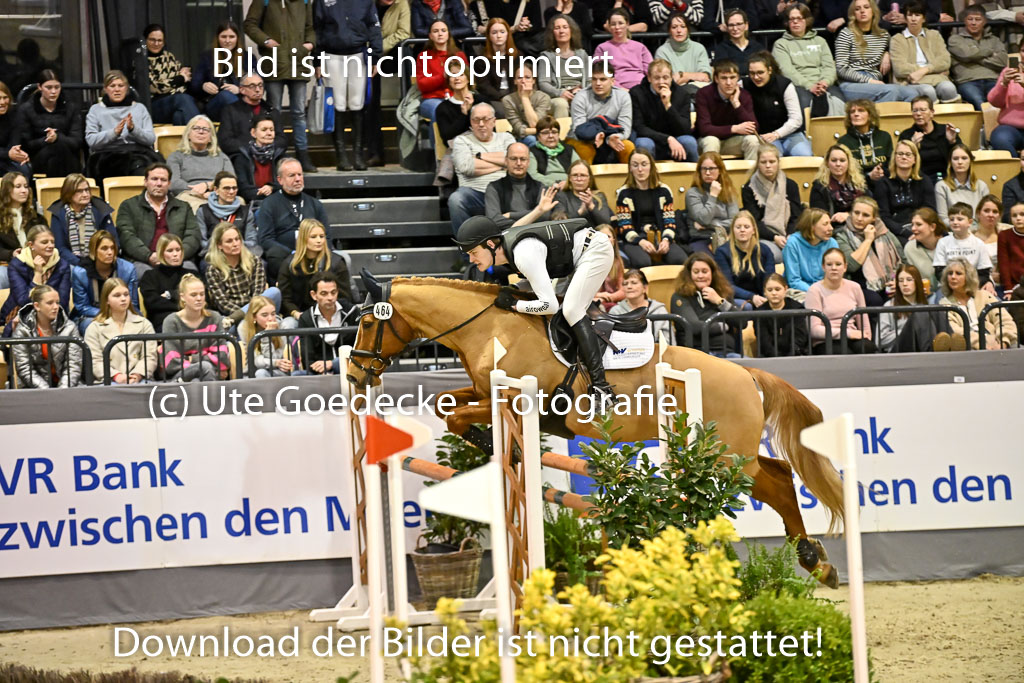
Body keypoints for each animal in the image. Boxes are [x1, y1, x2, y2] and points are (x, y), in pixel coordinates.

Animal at [347, 276, 845, 587]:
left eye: (369, 322)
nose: (353, 374)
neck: (489, 326)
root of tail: (747, 374)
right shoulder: (483, 390)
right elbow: (446, 404)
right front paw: (498, 448)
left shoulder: (519, 399)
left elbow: (456, 415)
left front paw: (500, 448)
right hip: (723, 454)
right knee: (779, 476)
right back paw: (815, 562)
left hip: (721, 458)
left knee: (775, 482)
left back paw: (813, 561)